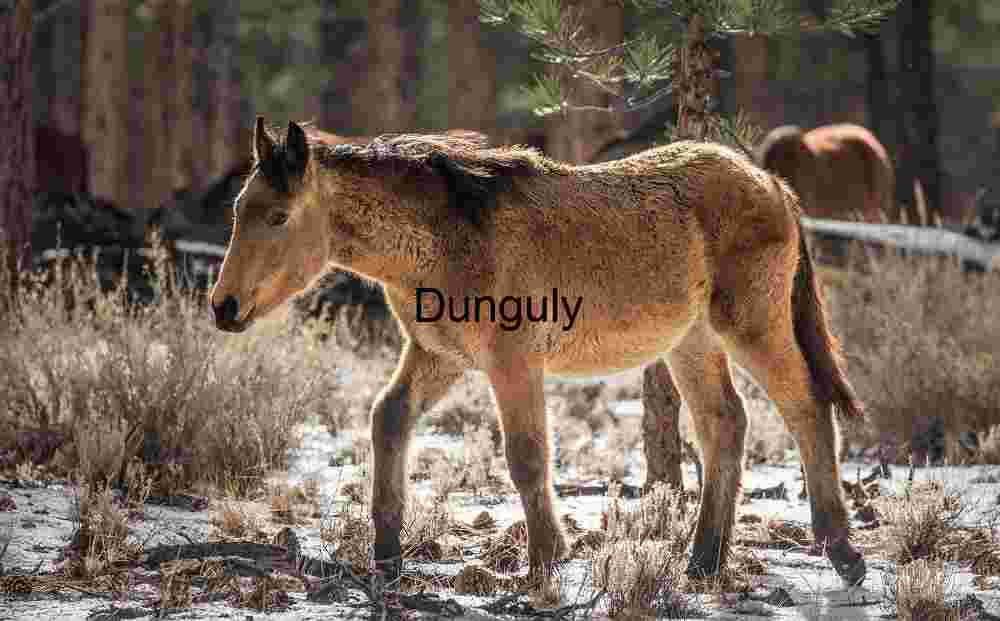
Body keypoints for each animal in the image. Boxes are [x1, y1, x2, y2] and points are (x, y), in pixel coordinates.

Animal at [210, 116, 868, 589]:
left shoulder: (512, 364)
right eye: (238, 211)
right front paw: (387, 553)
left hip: (752, 326)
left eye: (279, 216)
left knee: (807, 408)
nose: (224, 306)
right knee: (724, 424)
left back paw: (841, 551)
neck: (451, 236)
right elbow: (388, 418)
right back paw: (703, 561)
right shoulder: (437, 357)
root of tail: (774, 185)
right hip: (691, 341)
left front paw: (548, 558)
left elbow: (526, 456)